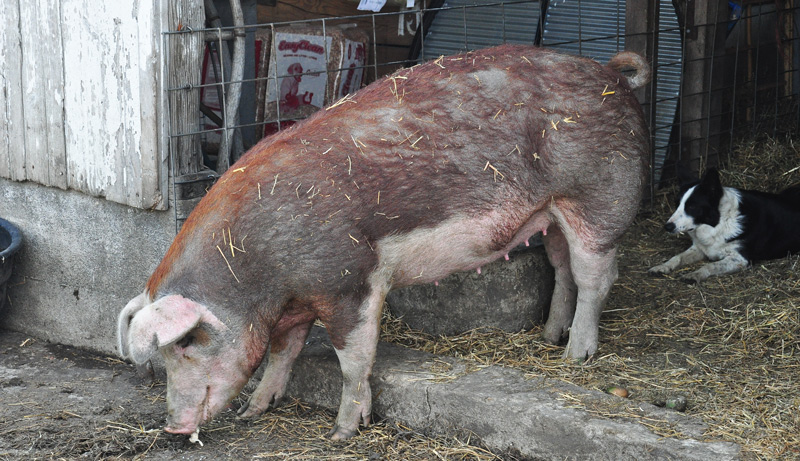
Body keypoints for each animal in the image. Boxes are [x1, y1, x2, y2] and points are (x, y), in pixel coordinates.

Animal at [117, 44, 650, 440]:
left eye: (187, 344)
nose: (171, 427)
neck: (259, 274)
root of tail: (612, 73)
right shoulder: (296, 304)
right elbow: (283, 353)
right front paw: (256, 410)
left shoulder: (351, 281)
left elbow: (354, 359)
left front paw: (343, 433)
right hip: (551, 213)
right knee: (562, 268)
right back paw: (550, 336)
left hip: (601, 196)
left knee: (597, 276)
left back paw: (575, 354)